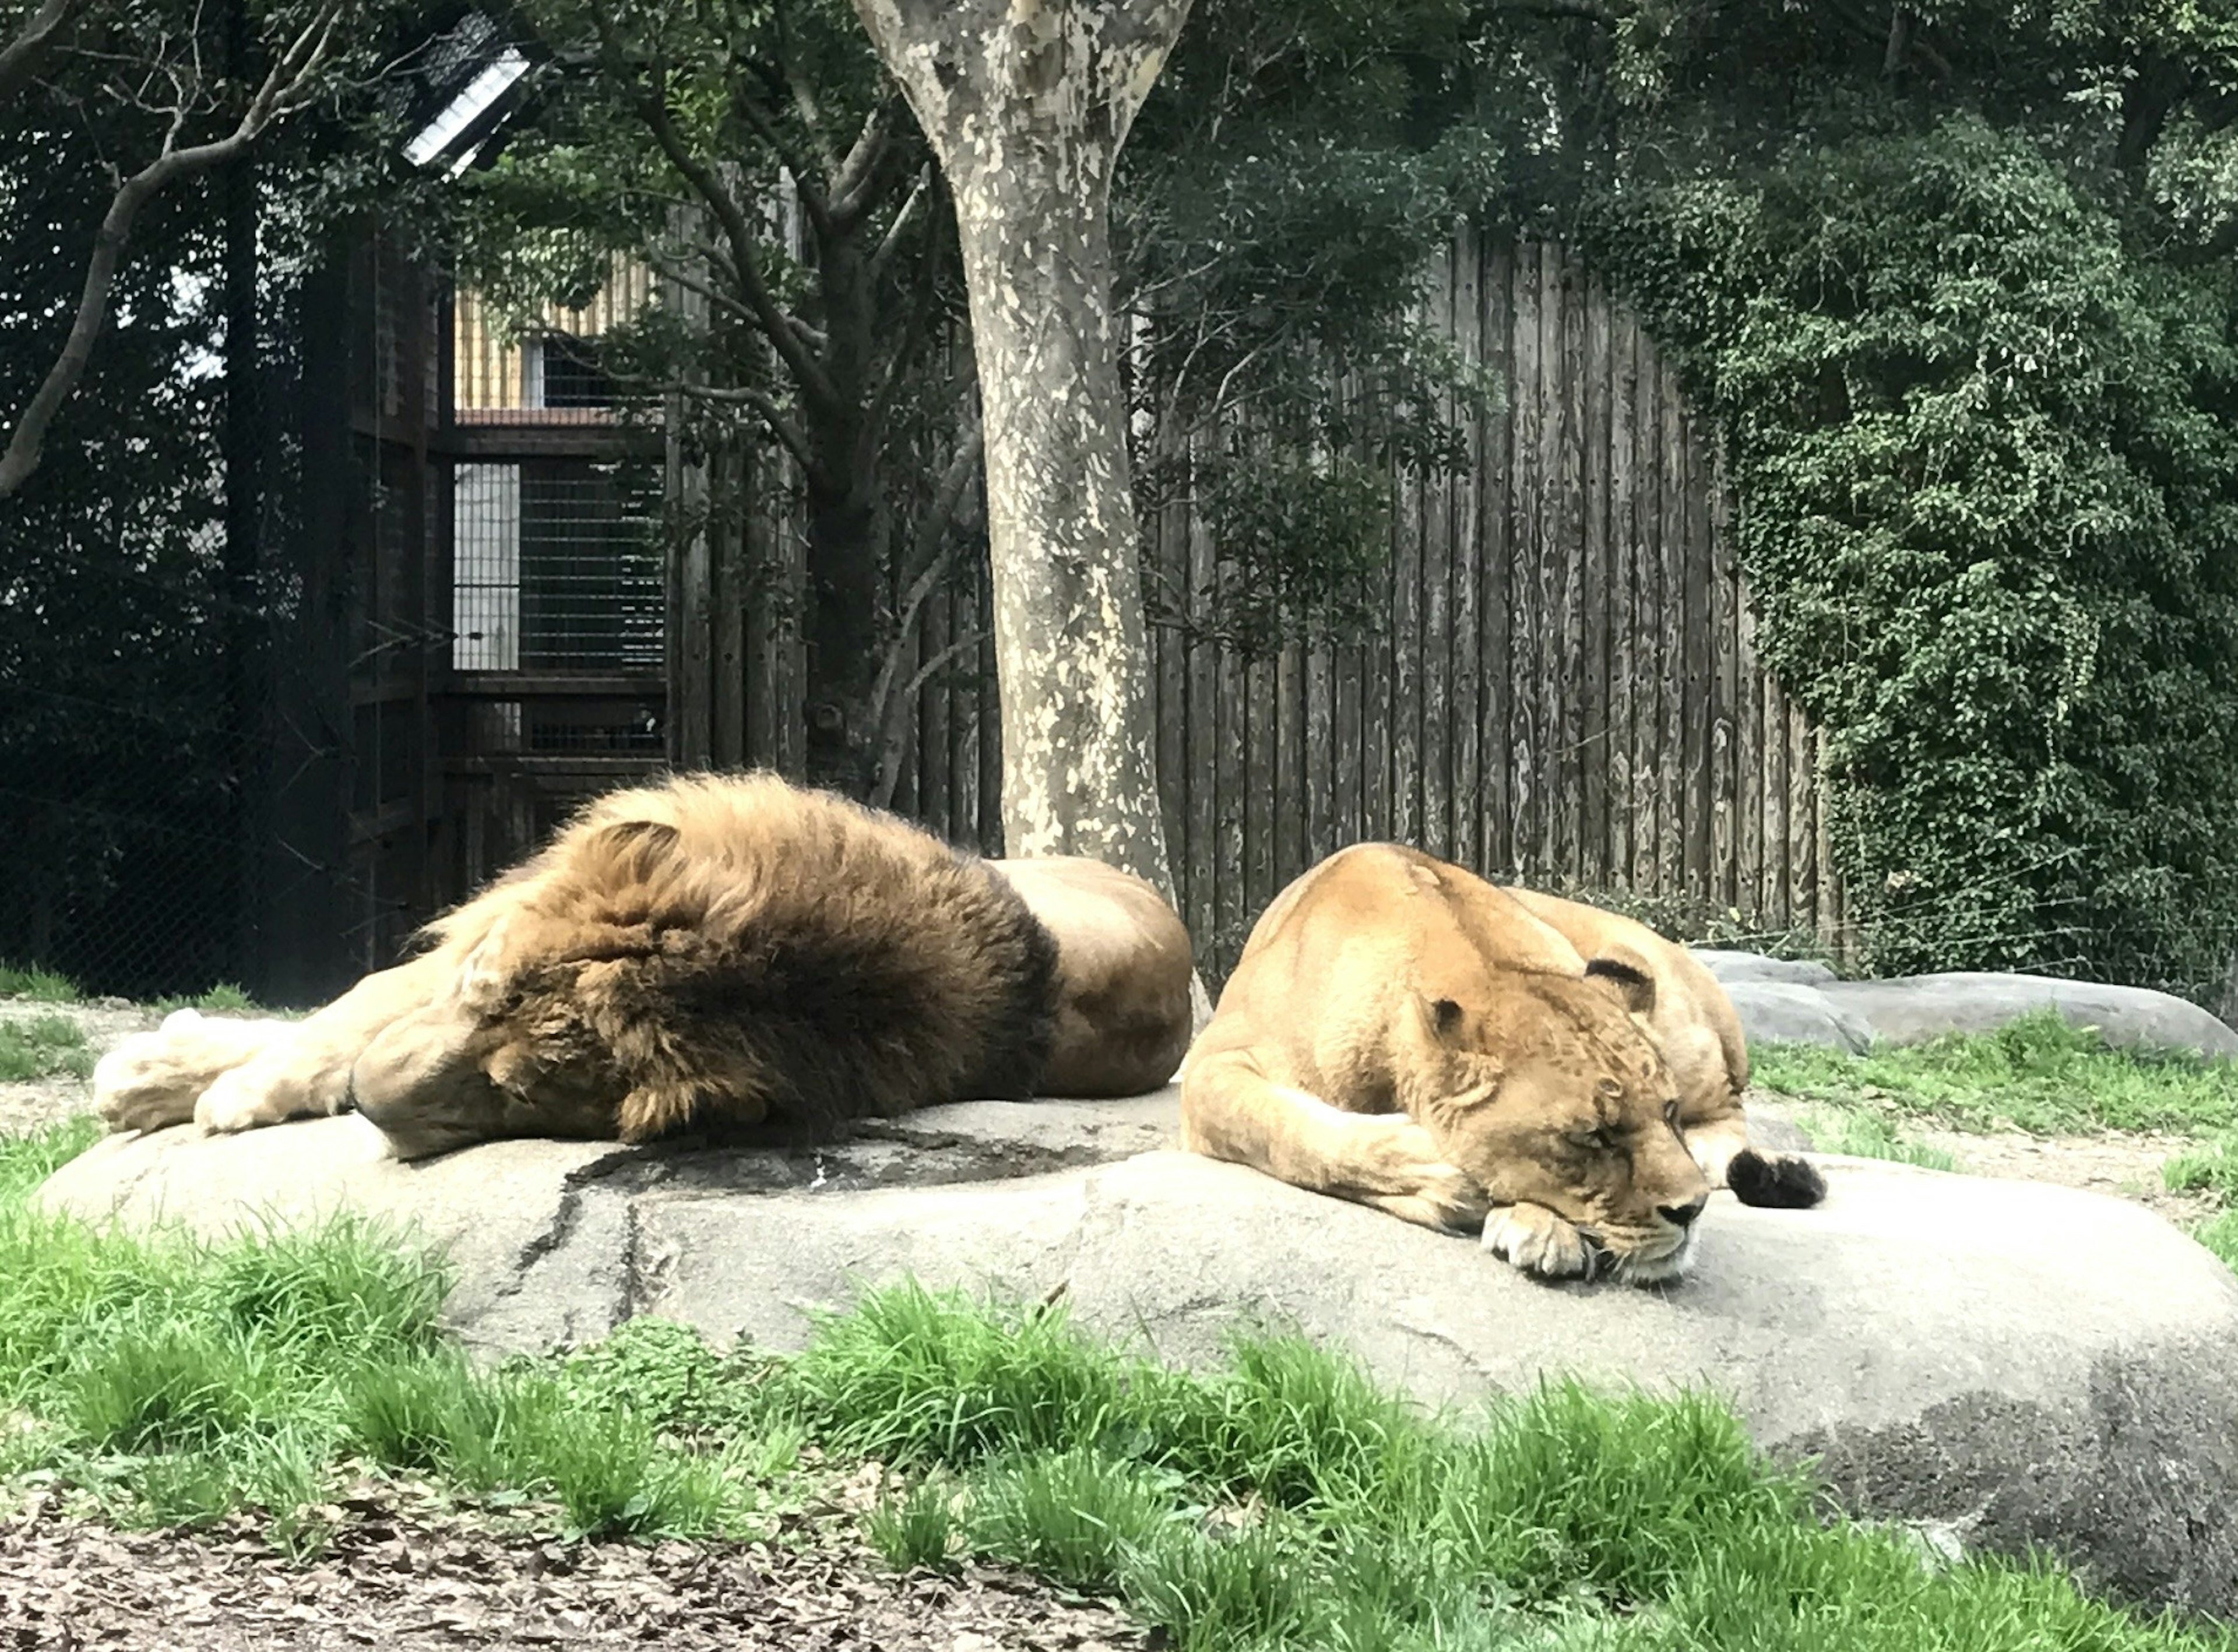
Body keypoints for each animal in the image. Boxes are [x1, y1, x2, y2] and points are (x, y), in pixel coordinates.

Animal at [96, 770, 1199, 1155]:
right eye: (480, 989)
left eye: (521, 1096)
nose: (372, 1105)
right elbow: (343, 1013)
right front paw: (160, 1074)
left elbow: (342, 1030)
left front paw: (215, 1092)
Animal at [1173, 841, 1817, 1280]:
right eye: (1592, 1136)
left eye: (1670, 1111)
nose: (1691, 1211)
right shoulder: (1212, 1063)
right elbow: (1289, 1130)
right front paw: (1446, 1178)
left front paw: (1525, 1219)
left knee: (1731, 1115)